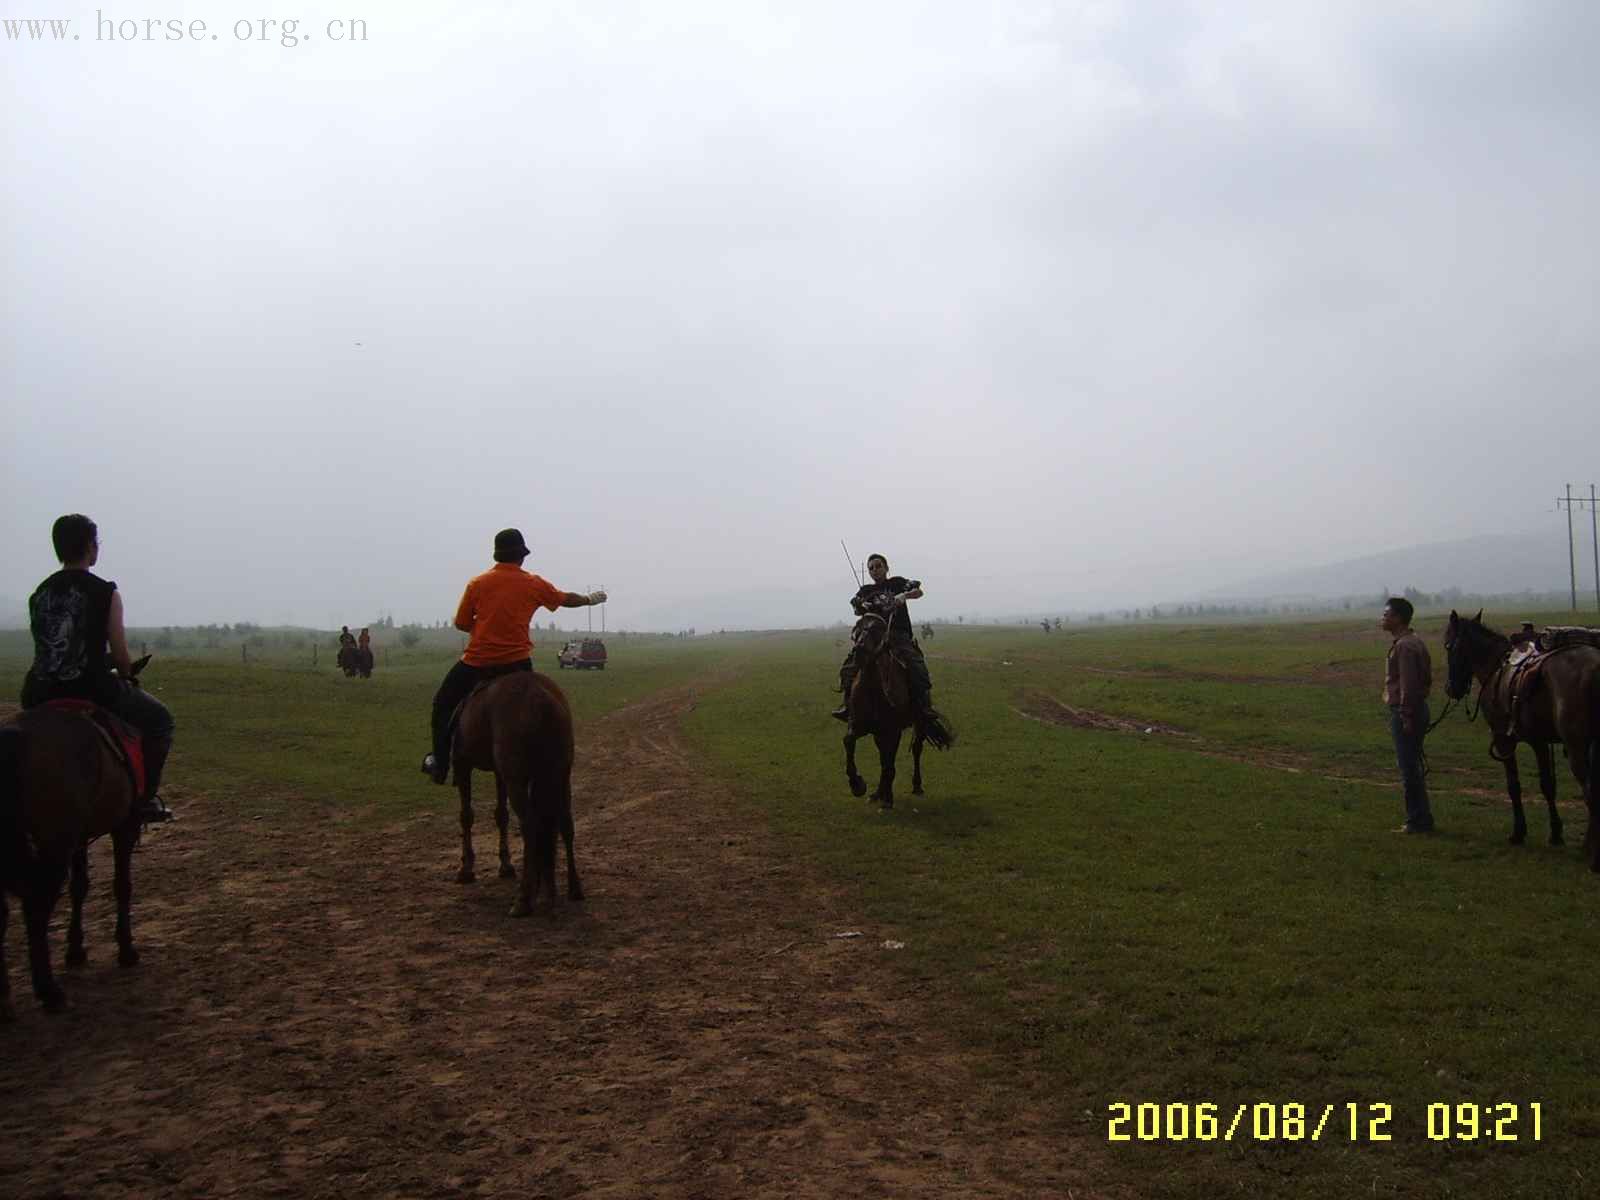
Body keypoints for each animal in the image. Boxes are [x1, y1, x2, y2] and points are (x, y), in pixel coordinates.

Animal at [0, 668, 151, 1024]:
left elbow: (80, 887)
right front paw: (126, 949)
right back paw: (49, 992)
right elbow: (121, 885)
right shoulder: (124, 826)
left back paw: (5, 999)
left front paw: (75, 949)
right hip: (55, 843)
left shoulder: (81, 837)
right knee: (36, 907)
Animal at [451, 672, 582, 915]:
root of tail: (541, 701)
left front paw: (466, 868)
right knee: (564, 823)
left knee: (530, 825)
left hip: (517, 780)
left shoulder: (463, 764)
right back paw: (568, 889)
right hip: (559, 774)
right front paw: (506, 865)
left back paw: (523, 899)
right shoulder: (500, 773)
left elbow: (466, 816)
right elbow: (501, 814)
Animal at [844, 604, 953, 812]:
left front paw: (887, 799)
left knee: (916, 749)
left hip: (919, 722)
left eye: (876, 630)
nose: (859, 651)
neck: (874, 688)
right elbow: (849, 742)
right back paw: (878, 792)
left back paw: (916, 786)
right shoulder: (861, 725)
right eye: (858, 628)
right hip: (879, 733)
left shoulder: (893, 730)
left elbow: (890, 764)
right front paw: (857, 785)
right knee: (883, 757)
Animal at [1440, 611, 1600, 864]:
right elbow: (1548, 785)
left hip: (1577, 748)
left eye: (1448, 645)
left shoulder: (1504, 740)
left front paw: (1518, 832)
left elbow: (1513, 786)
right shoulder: (1539, 741)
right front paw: (1556, 833)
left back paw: (1591, 851)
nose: (1451, 688)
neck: (1496, 667)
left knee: (1590, 791)